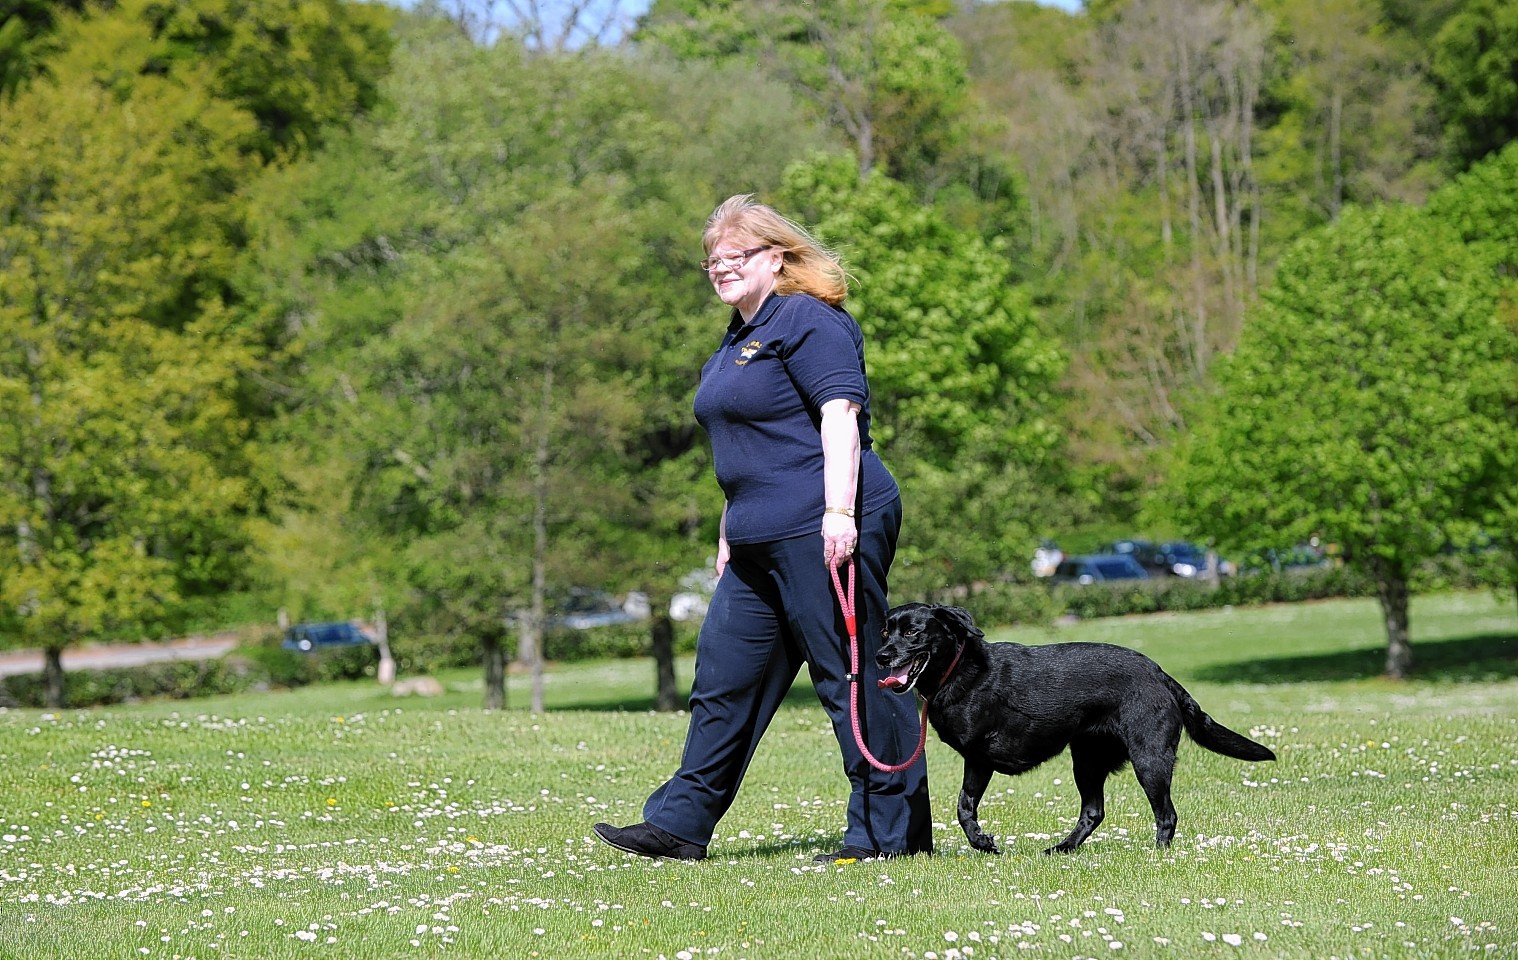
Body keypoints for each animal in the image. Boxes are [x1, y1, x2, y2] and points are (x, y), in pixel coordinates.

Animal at [874, 601, 1275, 856]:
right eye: (884, 632)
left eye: (912, 632)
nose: (880, 656)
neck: (959, 671)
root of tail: (1160, 674)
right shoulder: (975, 760)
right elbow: (963, 807)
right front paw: (982, 843)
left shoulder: (981, 757)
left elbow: (963, 806)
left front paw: (982, 842)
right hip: (1086, 760)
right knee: (1093, 812)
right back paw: (1062, 848)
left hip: (1149, 759)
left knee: (1166, 814)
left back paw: (1157, 854)